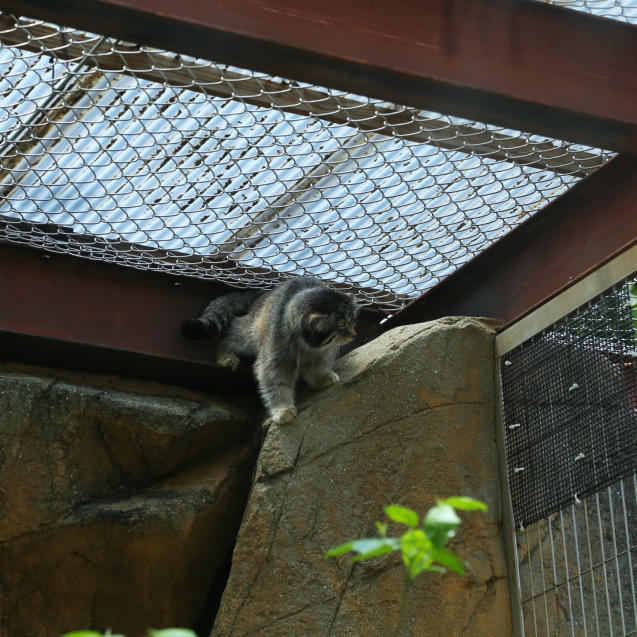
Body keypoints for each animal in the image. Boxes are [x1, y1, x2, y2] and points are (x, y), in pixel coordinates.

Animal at [181, 278, 358, 422]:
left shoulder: (321, 352)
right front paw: (282, 408)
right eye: (341, 324)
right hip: (249, 333)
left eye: (351, 319)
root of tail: (262, 294)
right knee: (231, 333)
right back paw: (226, 355)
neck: (305, 344)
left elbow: (317, 367)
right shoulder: (275, 358)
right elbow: (276, 382)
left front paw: (321, 378)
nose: (353, 334)